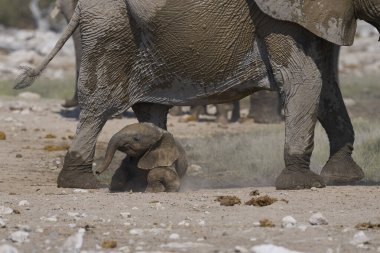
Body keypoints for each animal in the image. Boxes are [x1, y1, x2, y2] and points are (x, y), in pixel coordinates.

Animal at [15, 0, 372, 190]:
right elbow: (305, 79)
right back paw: (82, 183)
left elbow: (322, 82)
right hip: (111, 25)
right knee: (99, 103)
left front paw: (345, 177)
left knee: (149, 108)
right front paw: (303, 183)